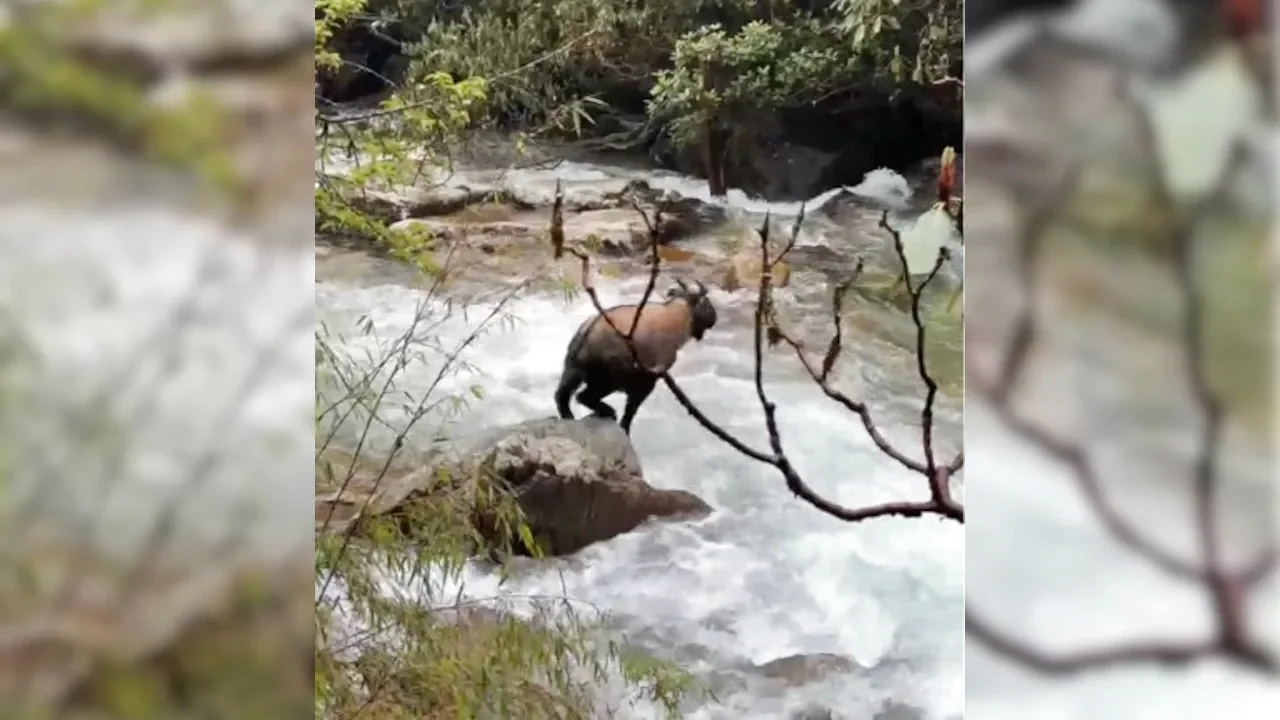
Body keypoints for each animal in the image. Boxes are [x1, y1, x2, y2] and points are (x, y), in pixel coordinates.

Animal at [555, 278, 717, 434]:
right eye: (705, 301)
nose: (714, 318)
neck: (678, 316)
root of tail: (589, 333)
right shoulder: (647, 380)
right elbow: (630, 412)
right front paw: (625, 429)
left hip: (573, 368)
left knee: (561, 395)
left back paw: (569, 416)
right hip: (608, 380)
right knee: (583, 396)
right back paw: (608, 412)